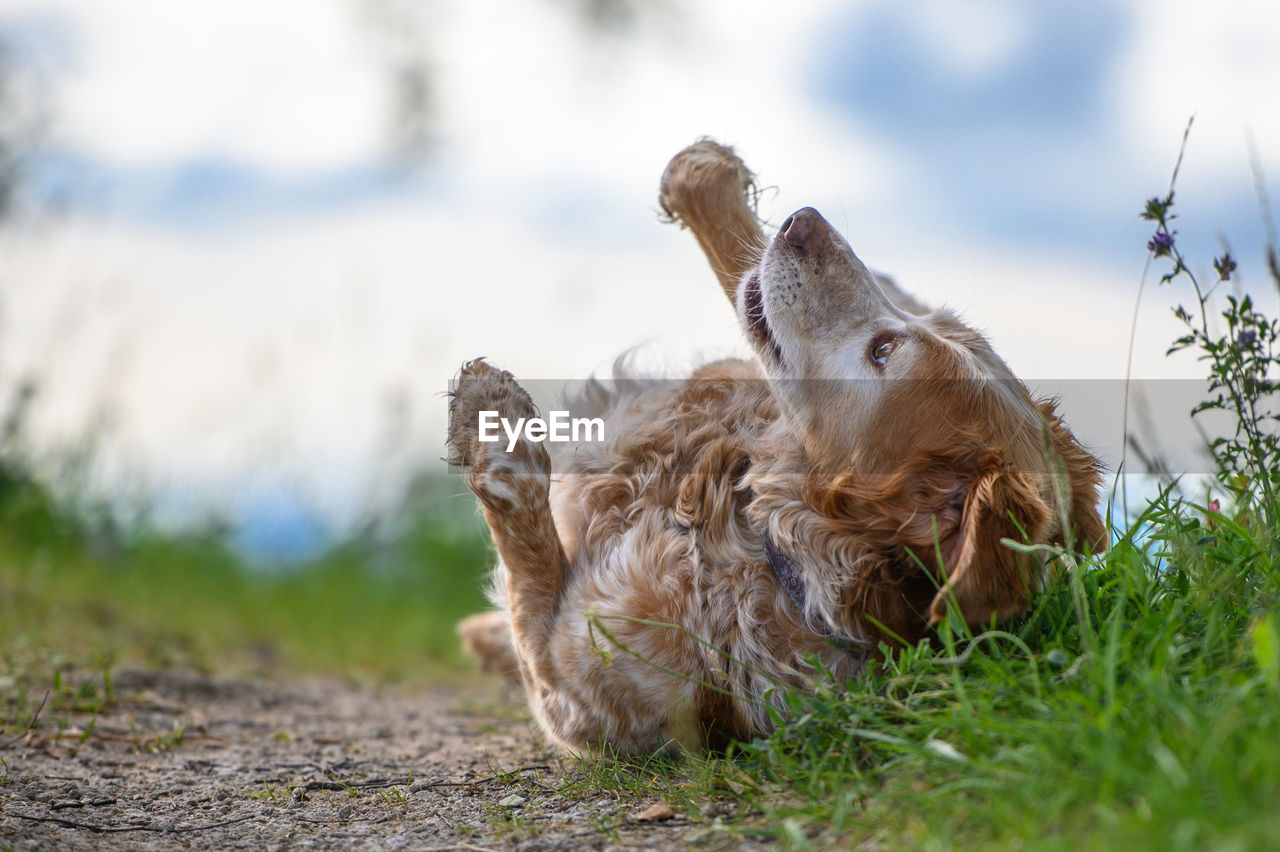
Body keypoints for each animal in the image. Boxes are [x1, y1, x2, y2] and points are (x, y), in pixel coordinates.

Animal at [445, 139, 1105, 752]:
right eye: (921, 332)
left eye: (883, 351)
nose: (805, 219)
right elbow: (744, 267)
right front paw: (703, 175)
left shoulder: (569, 689)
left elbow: (525, 550)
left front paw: (490, 415)